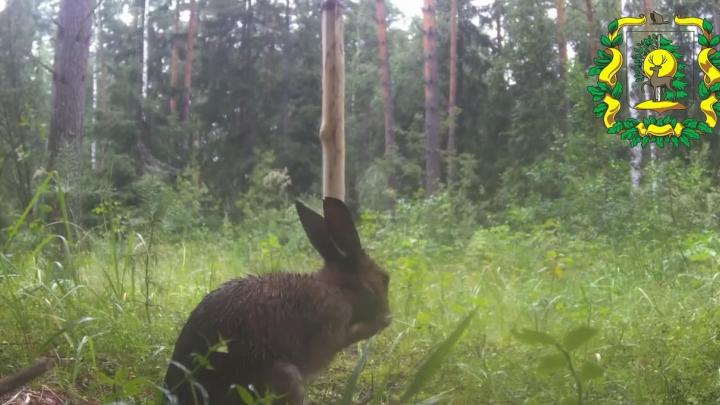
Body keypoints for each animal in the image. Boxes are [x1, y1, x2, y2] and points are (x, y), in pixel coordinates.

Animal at [164, 197, 392, 405]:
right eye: (384, 279)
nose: (388, 315)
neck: (339, 289)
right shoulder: (334, 328)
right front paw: (380, 322)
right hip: (286, 377)